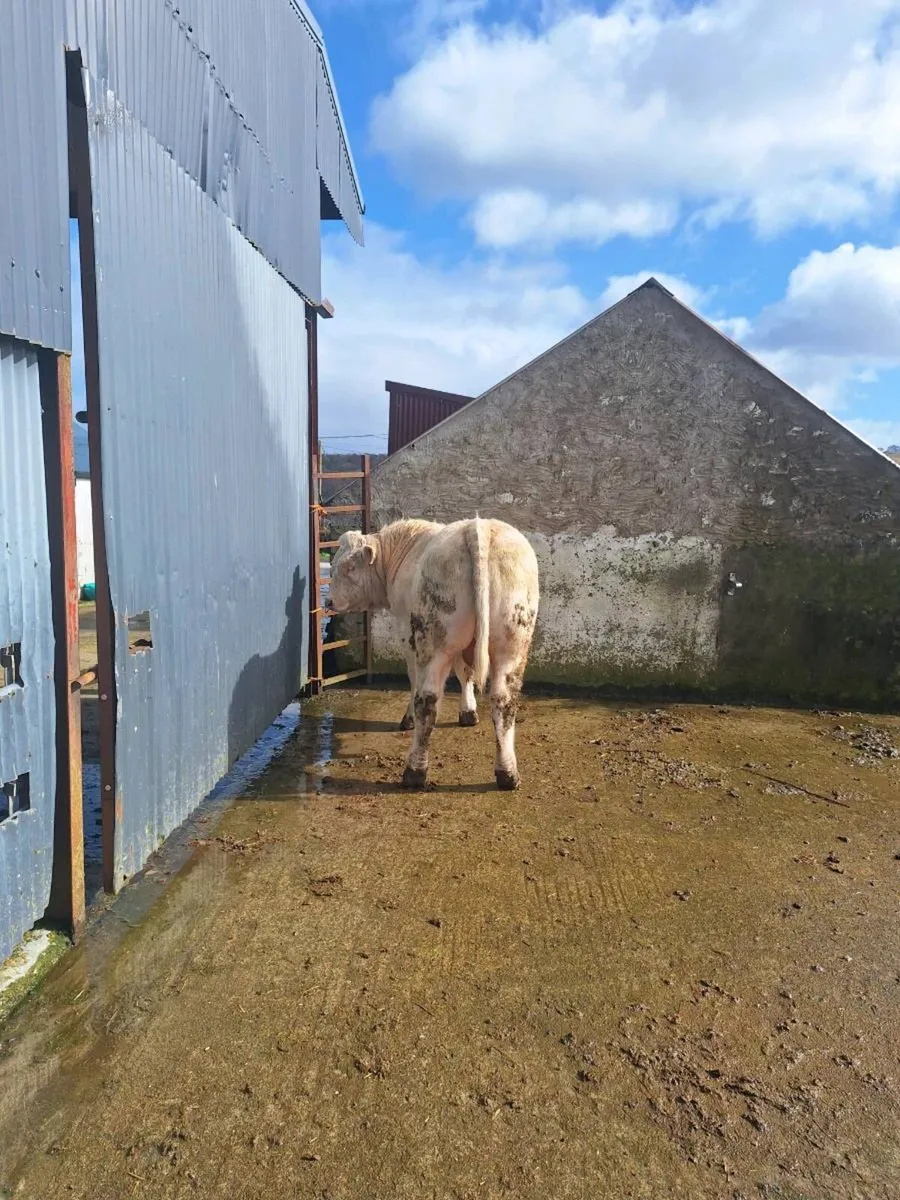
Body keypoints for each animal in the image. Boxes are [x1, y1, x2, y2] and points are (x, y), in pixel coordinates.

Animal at [328, 517, 539, 791]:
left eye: (350, 567)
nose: (329, 602)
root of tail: (478, 526)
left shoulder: (406, 631)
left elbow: (414, 678)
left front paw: (408, 720)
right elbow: (465, 673)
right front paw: (468, 712)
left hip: (433, 639)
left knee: (427, 698)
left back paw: (414, 771)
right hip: (512, 642)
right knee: (504, 701)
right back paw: (508, 774)